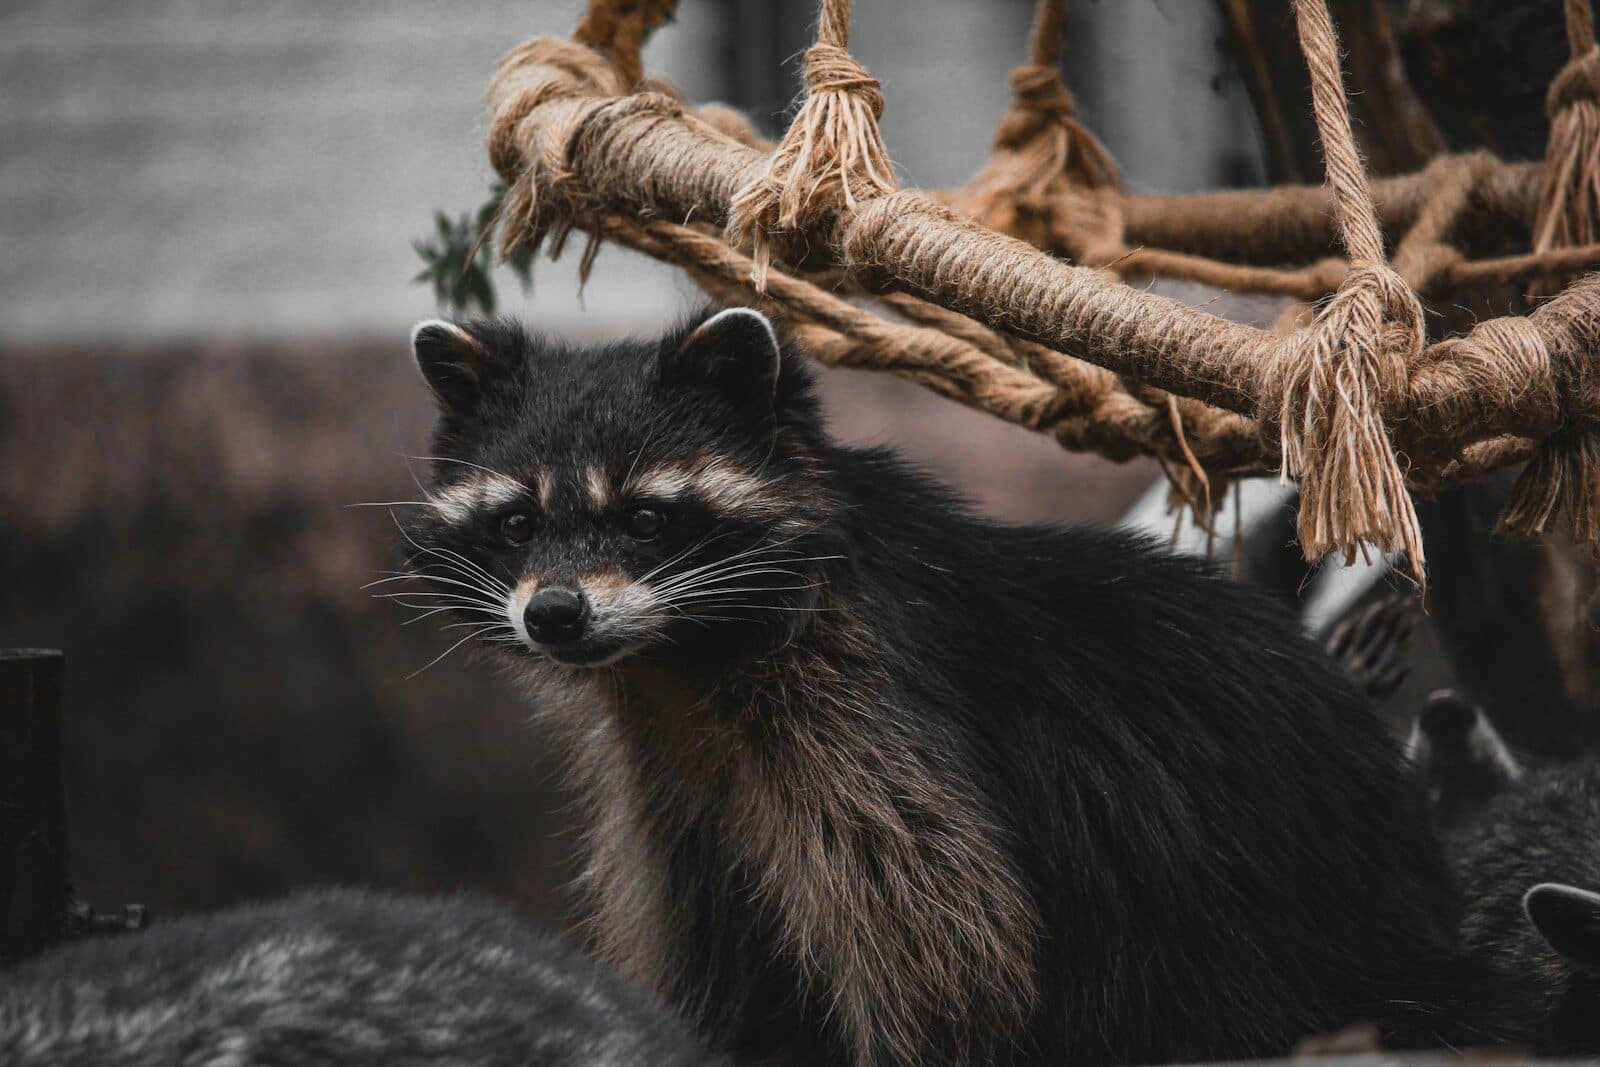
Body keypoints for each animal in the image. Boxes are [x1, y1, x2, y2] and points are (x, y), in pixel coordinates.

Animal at [396, 306, 1492, 1065]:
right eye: (515, 525)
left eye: (646, 519)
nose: (556, 614)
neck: (677, 654)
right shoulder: (672, 780)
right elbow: (716, 962)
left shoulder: (865, 704)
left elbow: (952, 952)